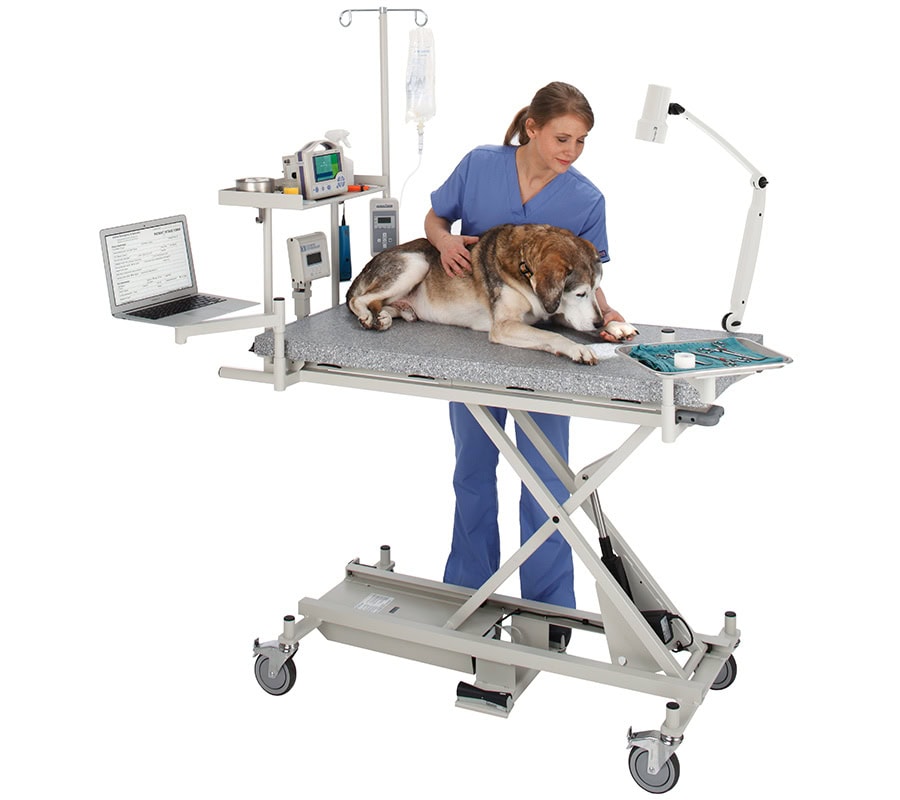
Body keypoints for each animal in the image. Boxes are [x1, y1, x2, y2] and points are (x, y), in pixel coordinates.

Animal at [342, 223, 632, 364]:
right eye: (581, 293)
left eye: (596, 289)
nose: (598, 322)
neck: (523, 267)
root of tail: (369, 263)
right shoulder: (504, 326)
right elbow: (551, 336)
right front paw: (577, 349)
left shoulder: (554, 310)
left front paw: (615, 326)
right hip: (416, 263)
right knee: (358, 299)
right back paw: (367, 317)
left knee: (383, 304)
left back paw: (383, 318)